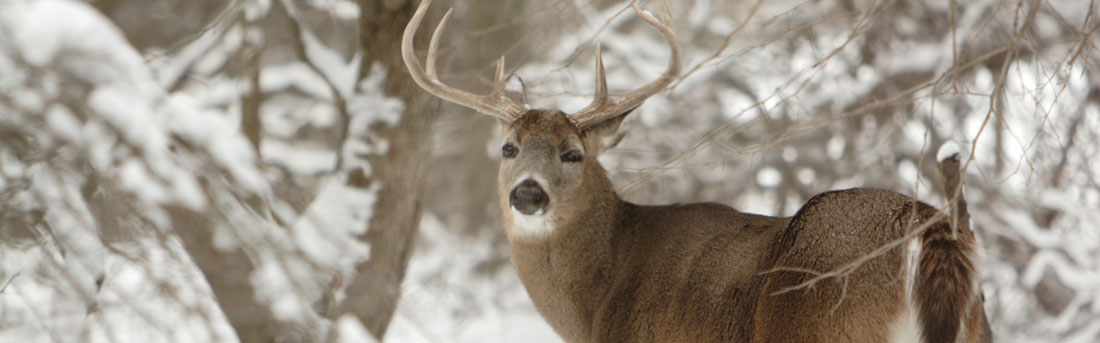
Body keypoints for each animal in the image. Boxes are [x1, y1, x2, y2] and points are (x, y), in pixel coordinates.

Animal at [402, 1, 990, 340]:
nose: (528, 193)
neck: (595, 306)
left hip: (826, 325)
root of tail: (929, 227)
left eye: (573, 153)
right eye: (508, 148)